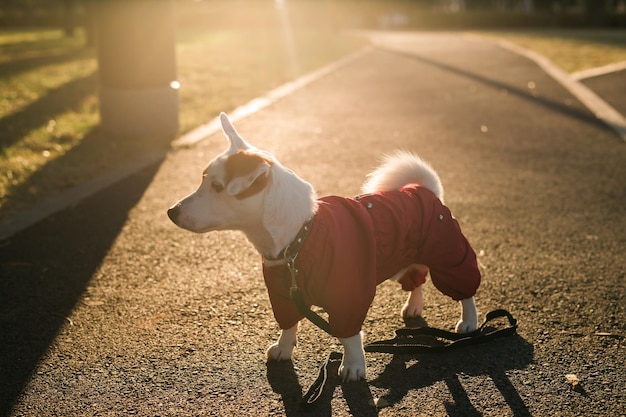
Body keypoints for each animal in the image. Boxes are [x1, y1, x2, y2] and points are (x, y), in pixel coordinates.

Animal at [168, 112, 480, 382]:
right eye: (203, 179)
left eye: (217, 187)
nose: (172, 211)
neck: (300, 239)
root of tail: (422, 190)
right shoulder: (282, 293)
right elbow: (288, 323)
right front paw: (283, 348)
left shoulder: (348, 295)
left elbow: (350, 336)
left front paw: (353, 365)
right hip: (404, 260)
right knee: (417, 280)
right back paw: (413, 306)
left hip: (449, 254)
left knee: (465, 290)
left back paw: (469, 321)